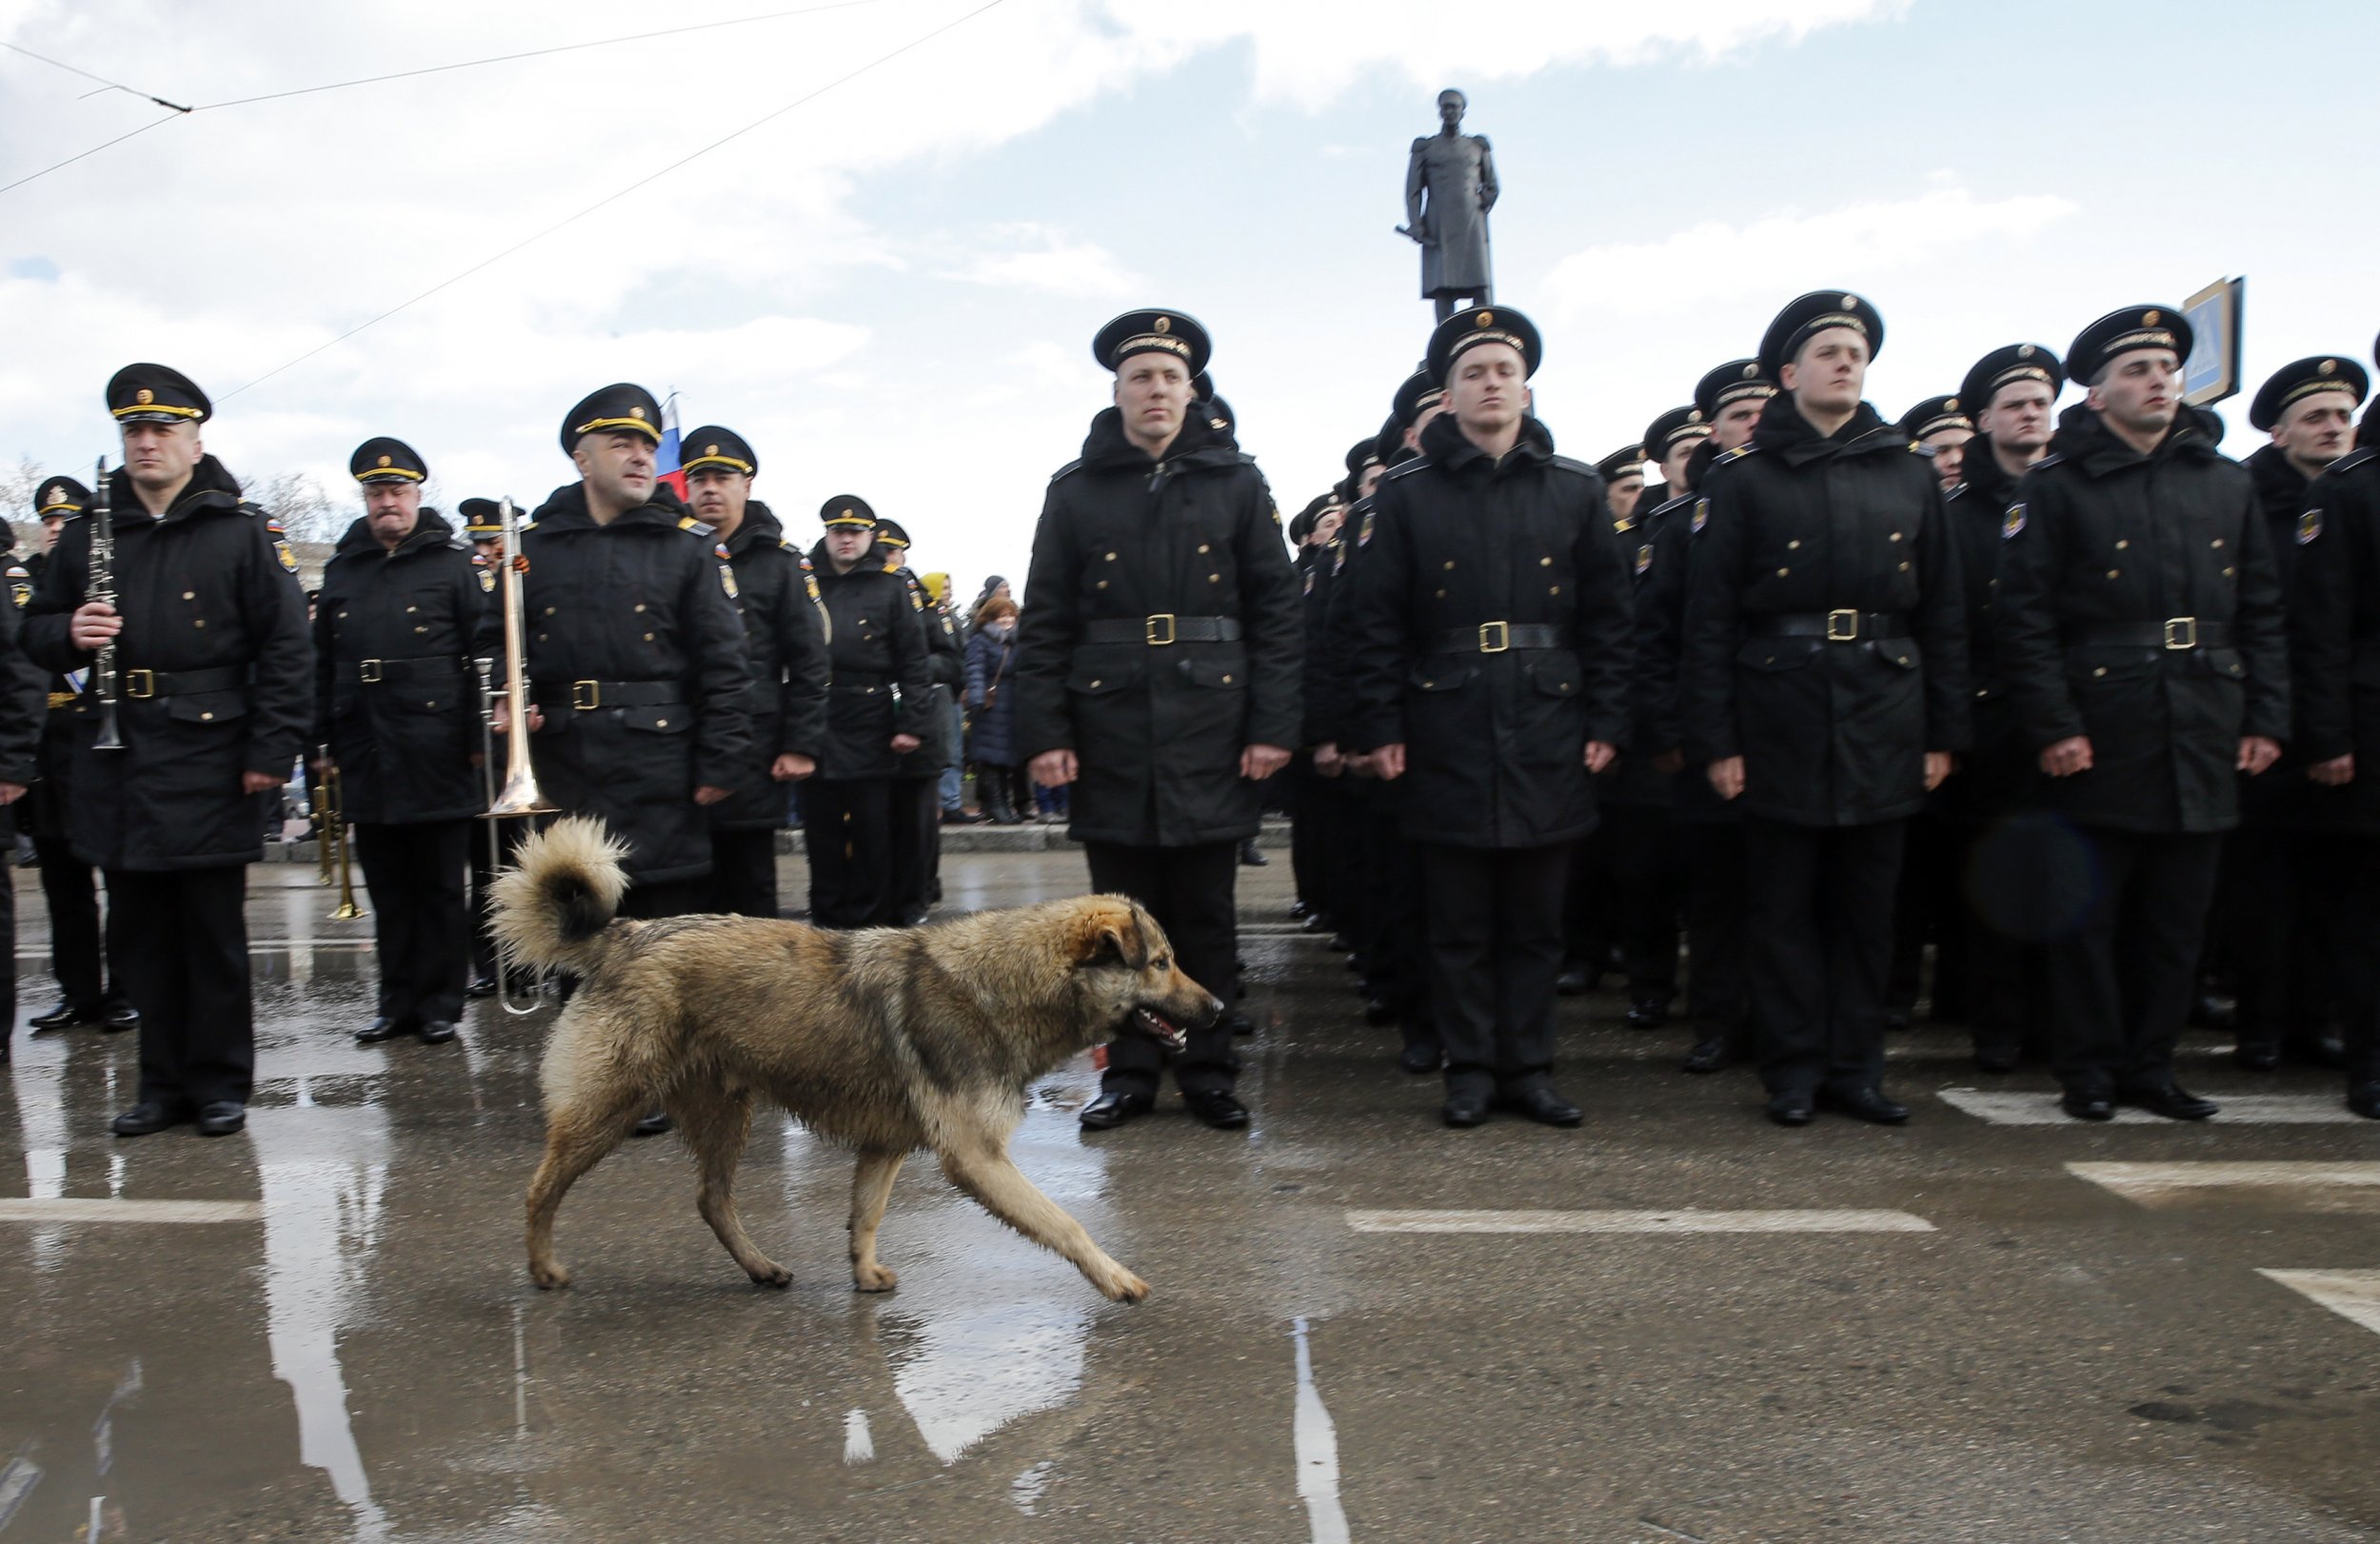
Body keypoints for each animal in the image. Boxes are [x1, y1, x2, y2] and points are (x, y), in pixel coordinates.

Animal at [492, 818, 1219, 1303]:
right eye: (1160, 963)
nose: (1216, 1009)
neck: (1004, 986)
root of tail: (625, 935)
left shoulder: (886, 1144)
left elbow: (866, 1214)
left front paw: (864, 1273)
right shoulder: (977, 1159)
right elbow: (1066, 1225)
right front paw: (1115, 1276)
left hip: (726, 1113)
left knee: (711, 1199)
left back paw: (760, 1268)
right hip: (607, 1109)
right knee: (538, 1190)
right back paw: (542, 1268)